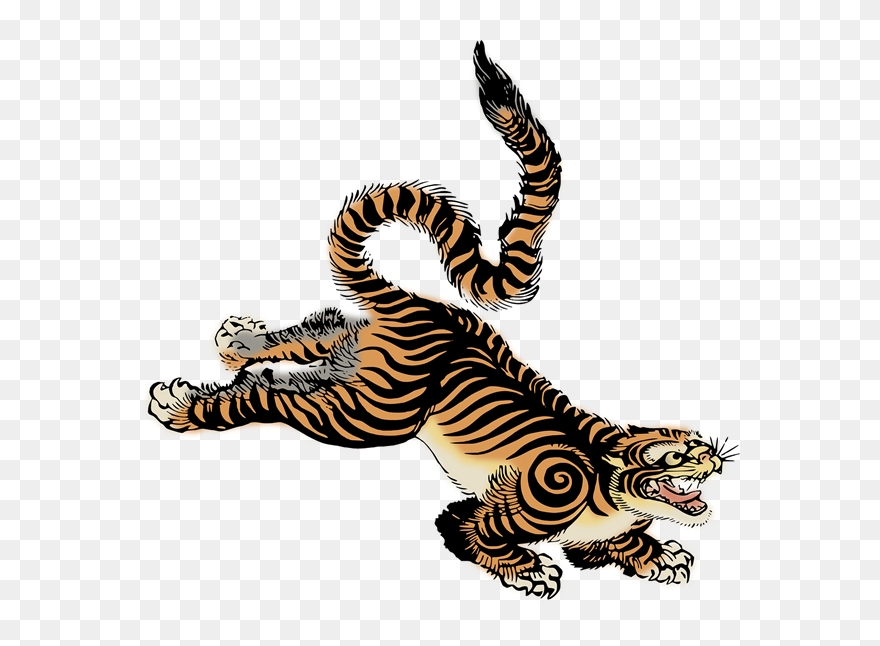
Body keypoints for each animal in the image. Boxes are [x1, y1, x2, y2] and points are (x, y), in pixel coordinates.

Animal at [148, 41, 736, 599]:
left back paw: (239, 343)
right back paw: (181, 406)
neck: (608, 485)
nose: (714, 456)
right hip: (375, 416)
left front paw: (658, 555)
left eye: (699, 442)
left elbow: (620, 543)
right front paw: (529, 570)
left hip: (355, 365)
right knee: (272, 398)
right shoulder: (498, 508)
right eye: (678, 453)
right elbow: (476, 536)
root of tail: (419, 304)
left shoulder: (598, 535)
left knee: (319, 334)